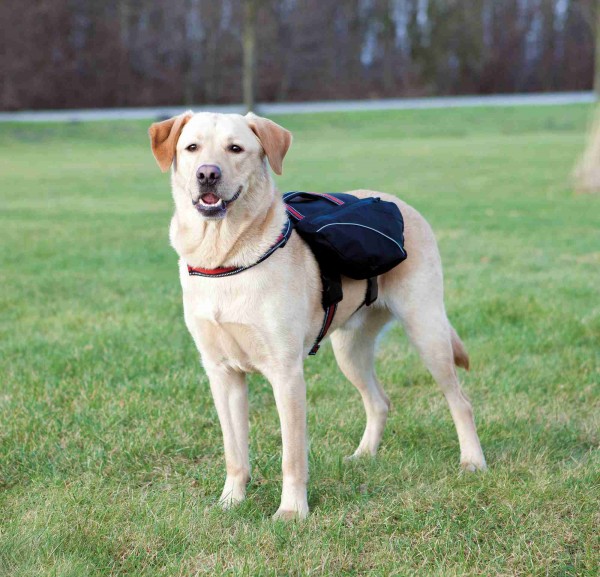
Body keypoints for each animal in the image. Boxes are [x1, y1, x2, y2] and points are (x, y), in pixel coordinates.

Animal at [148, 110, 486, 520]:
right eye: (192, 147)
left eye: (236, 148)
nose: (207, 174)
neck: (225, 258)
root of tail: (399, 202)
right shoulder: (221, 373)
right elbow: (234, 451)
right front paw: (231, 500)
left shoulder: (286, 374)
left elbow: (292, 456)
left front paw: (292, 512)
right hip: (350, 351)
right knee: (379, 402)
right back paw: (364, 455)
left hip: (427, 331)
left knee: (461, 402)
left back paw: (473, 461)